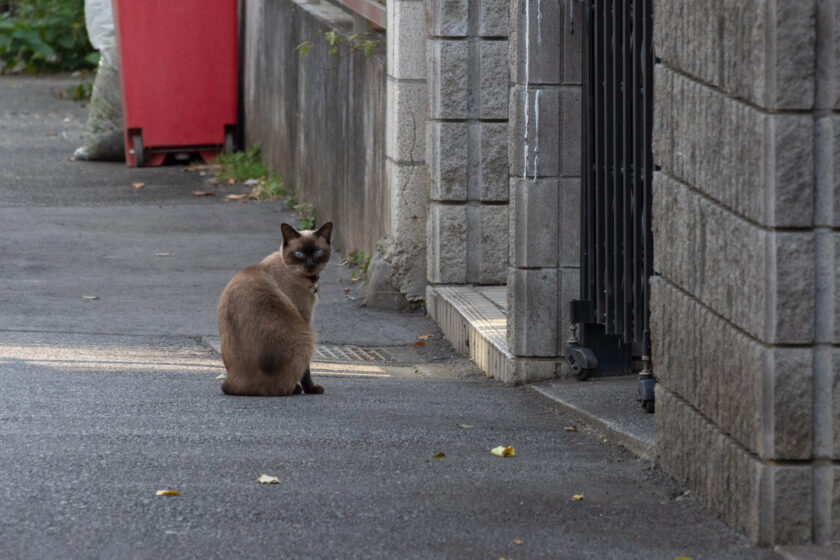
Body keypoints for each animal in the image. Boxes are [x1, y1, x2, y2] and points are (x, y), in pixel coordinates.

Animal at [218, 221, 334, 396]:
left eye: (318, 252)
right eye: (299, 254)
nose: (310, 264)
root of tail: (233, 385)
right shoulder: (304, 317)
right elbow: (306, 371)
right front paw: (311, 389)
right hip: (307, 337)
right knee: (282, 387)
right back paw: (296, 389)